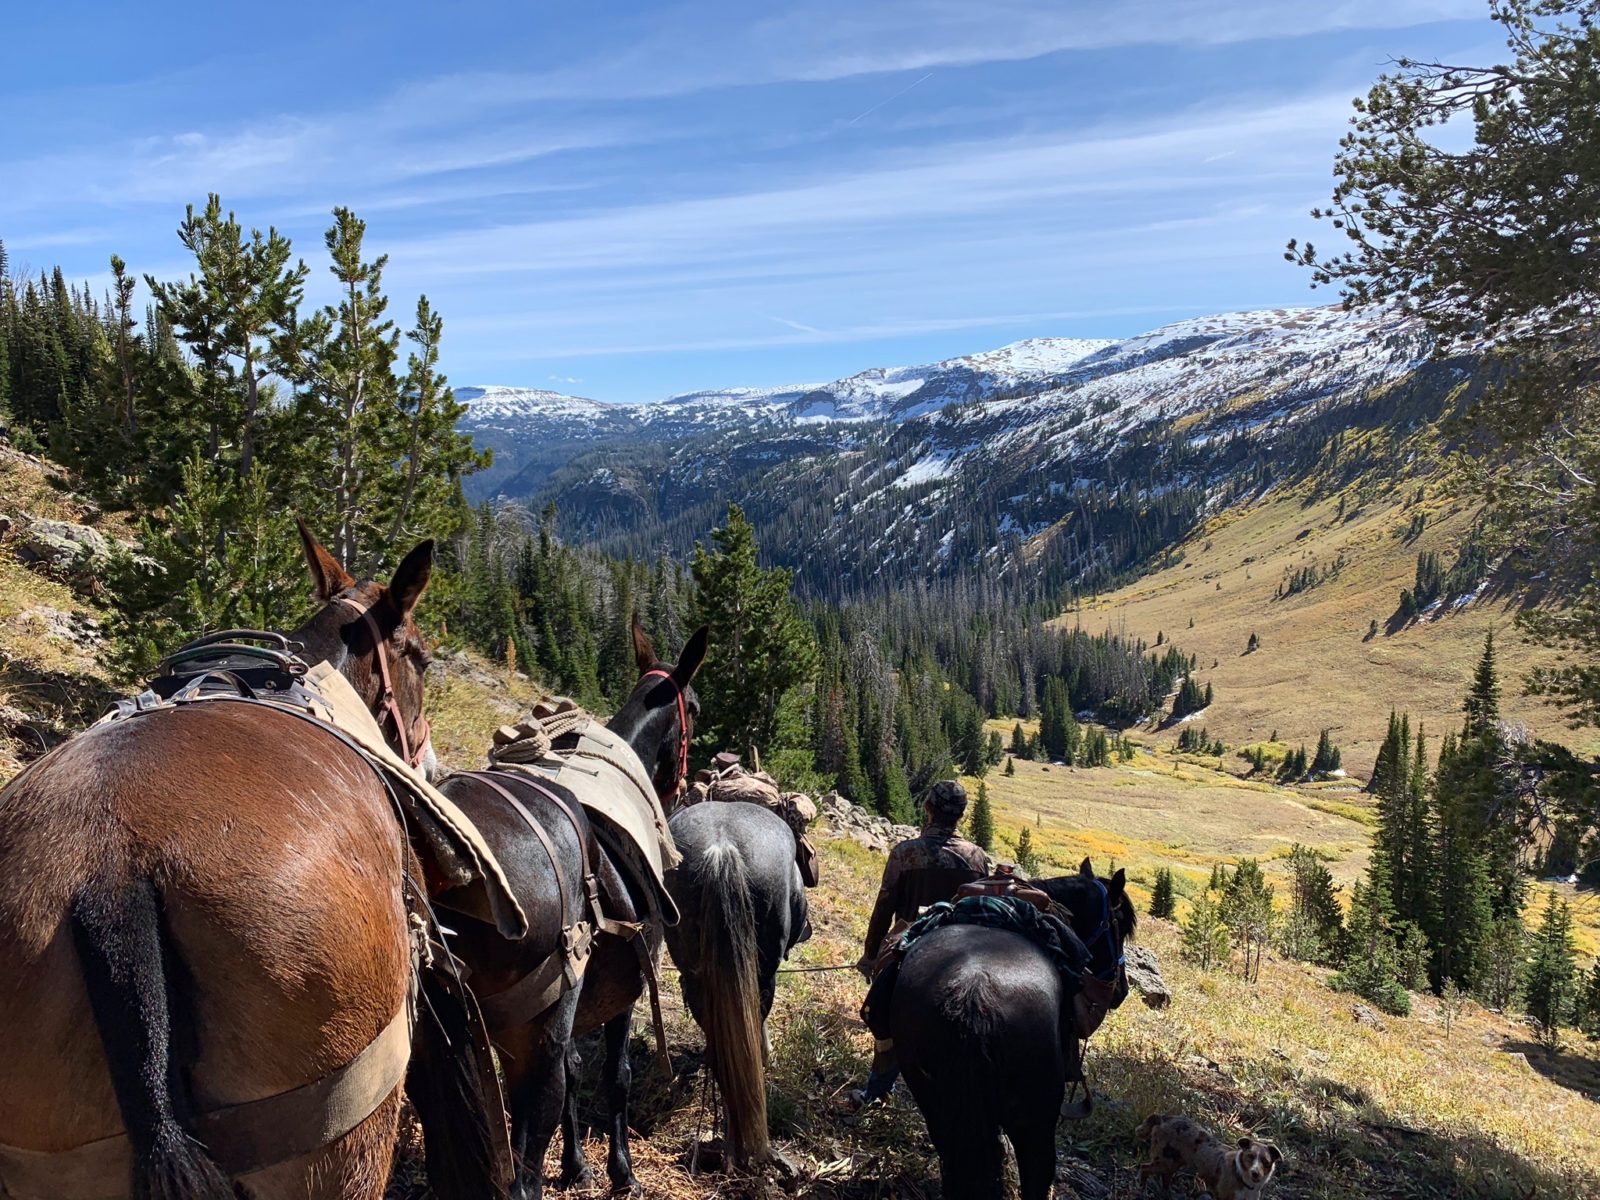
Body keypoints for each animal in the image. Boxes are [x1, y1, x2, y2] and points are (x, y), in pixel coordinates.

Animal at [435, 624, 704, 1196]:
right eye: (693, 705)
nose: (680, 790)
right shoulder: (625, 988)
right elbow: (615, 1077)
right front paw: (622, 1172)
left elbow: (580, 1068)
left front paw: (577, 1164)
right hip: (530, 1034)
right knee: (527, 1151)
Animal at [896, 864, 1132, 1200]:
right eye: (1119, 925)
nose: (1121, 990)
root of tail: (973, 992)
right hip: (1036, 1121)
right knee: (1037, 1175)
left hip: (936, 1105)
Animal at [1132, 1120, 1280, 1200]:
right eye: (1250, 1156)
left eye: (1265, 1162)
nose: (1255, 1173)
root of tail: (1164, 1118)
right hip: (1165, 1162)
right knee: (1144, 1169)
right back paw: (1142, 1189)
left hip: (1173, 1162)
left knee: (1165, 1179)